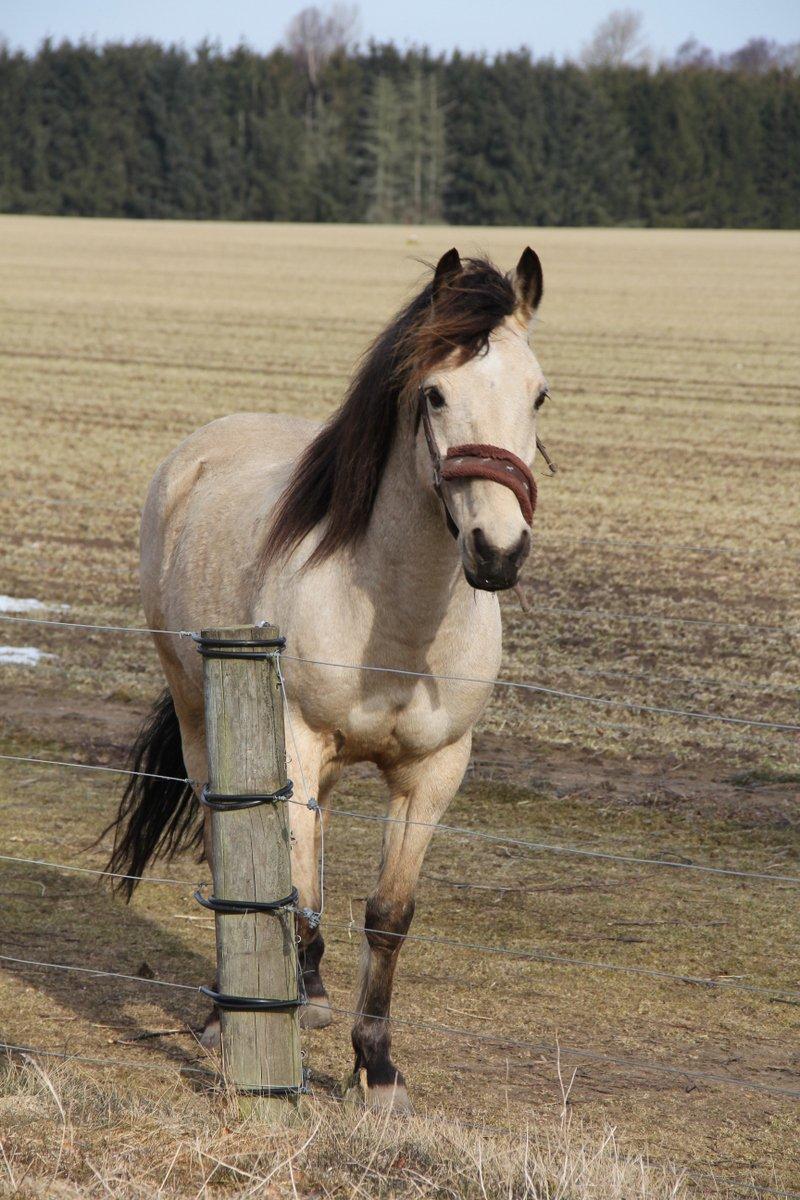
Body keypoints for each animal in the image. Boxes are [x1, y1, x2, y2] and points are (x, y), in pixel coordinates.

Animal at [106, 246, 551, 1113]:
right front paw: (284, 1010)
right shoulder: (296, 744)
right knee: (234, 844)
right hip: (201, 714)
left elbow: (387, 914)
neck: (398, 626)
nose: (499, 550)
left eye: (538, 392)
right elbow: (294, 885)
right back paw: (235, 1010)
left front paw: (377, 1067)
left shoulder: (434, 772)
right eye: (436, 394)